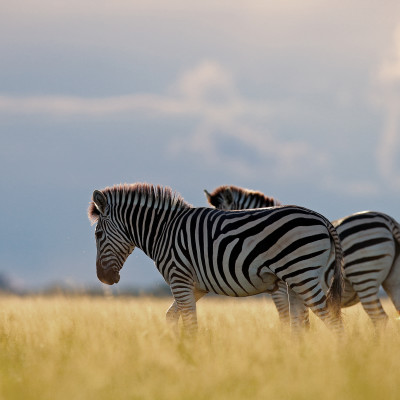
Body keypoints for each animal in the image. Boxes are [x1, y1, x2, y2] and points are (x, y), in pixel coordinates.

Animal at [89, 183, 346, 336]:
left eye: (98, 234)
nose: (103, 279)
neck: (163, 230)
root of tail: (322, 219)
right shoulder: (196, 285)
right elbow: (171, 317)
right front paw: (175, 349)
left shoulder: (179, 278)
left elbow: (191, 325)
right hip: (301, 280)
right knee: (302, 326)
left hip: (303, 276)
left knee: (333, 322)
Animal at [205, 186, 400, 326]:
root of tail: (388, 221)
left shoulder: (281, 291)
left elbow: (287, 320)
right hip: (390, 279)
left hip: (364, 275)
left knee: (380, 319)